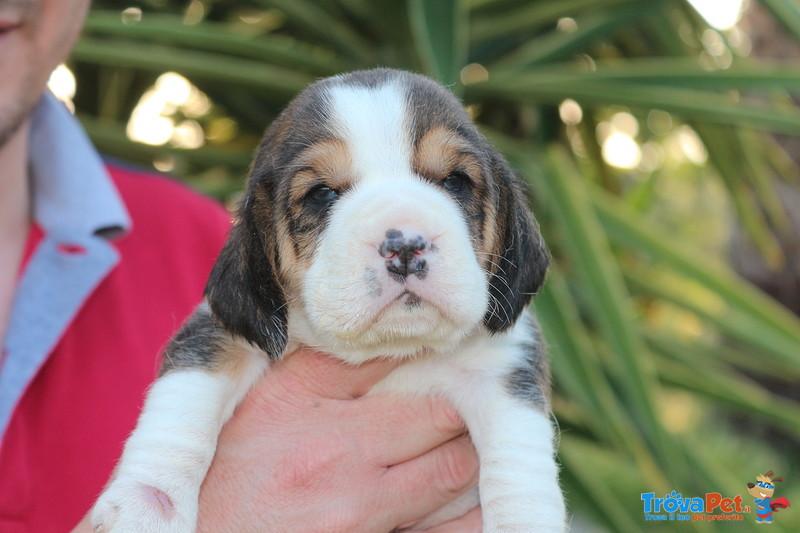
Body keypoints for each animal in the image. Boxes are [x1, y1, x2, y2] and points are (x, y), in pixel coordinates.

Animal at [94, 68, 564, 528]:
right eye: (321, 194)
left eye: (456, 182)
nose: (405, 246)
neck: (395, 348)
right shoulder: (215, 334)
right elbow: (183, 403)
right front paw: (147, 501)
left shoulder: (507, 365)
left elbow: (518, 462)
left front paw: (523, 518)